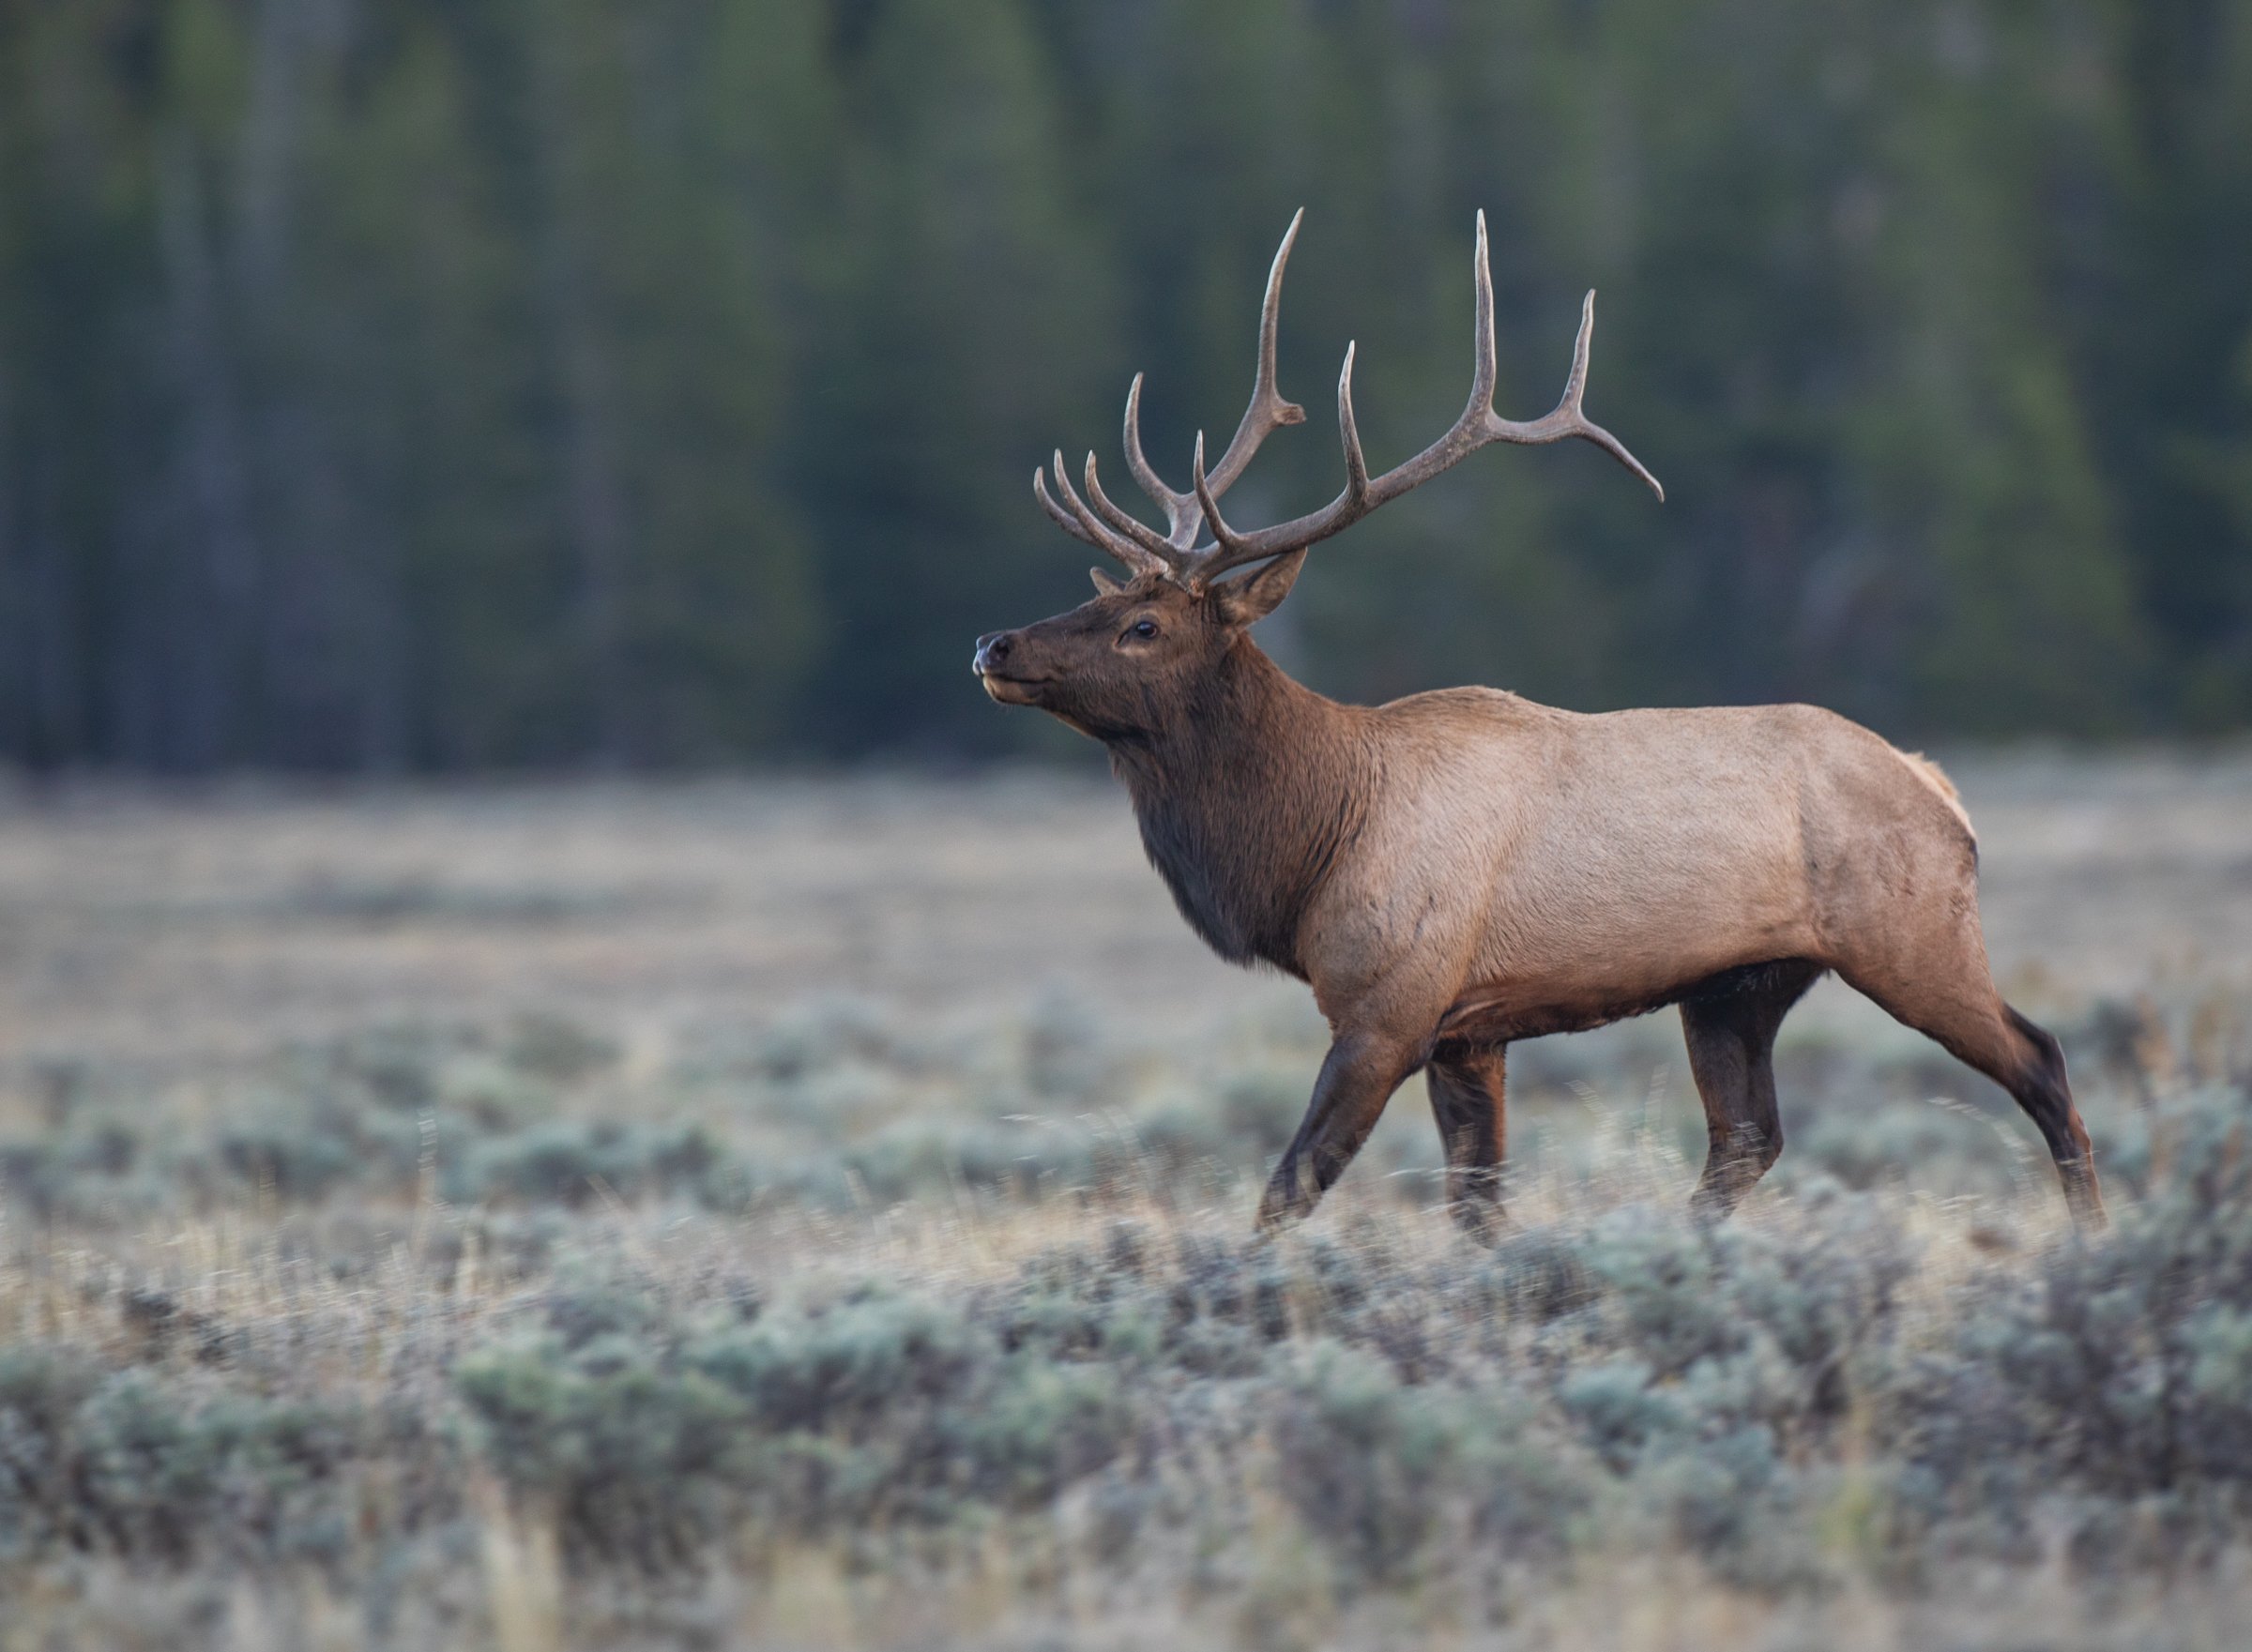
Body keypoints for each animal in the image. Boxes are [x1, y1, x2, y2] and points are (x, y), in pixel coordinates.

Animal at [977, 210, 2098, 1242]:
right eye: (1101, 599)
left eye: (1144, 625)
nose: (994, 642)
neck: (1309, 845)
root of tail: (1941, 788)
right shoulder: (1469, 1031)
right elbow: (1477, 1208)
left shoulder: (1390, 1006)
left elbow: (1288, 1191)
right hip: (1738, 987)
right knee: (1747, 1137)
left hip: (1913, 935)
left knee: (2040, 1059)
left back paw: (2091, 1232)